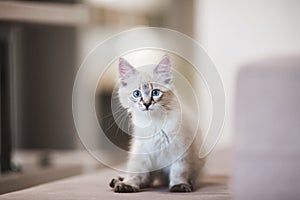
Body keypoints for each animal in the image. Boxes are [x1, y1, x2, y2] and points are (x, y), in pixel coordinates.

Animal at [109, 54, 205, 192]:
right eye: (137, 94)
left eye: (155, 92)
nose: (147, 104)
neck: (154, 123)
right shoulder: (142, 149)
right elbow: (136, 172)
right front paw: (128, 184)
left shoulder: (181, 148)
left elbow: (179, 171)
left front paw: (179, 185)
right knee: (144, 178)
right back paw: (119, 180)